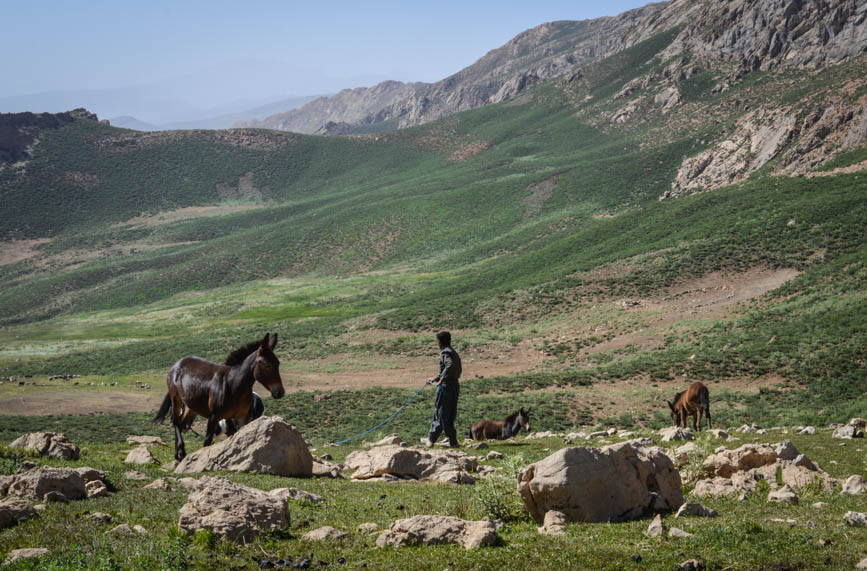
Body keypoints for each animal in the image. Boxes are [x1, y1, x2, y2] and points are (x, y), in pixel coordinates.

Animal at [154, 336, 286, 460]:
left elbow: (242, 439)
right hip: (176, 398)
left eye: (278, 363)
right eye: (267, 365)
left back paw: (178, 455)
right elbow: (207, 442)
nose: (279, 392)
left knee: (181, 424)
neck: (234, 386)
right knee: (175, 421)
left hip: (191, 407)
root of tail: (177, 364)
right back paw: (180, 453)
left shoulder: (242, 418)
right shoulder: (214, 417)